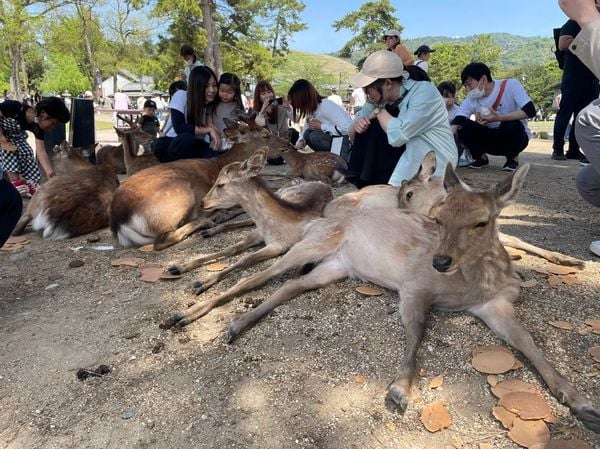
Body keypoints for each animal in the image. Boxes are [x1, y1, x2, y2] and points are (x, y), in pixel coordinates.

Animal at [110, 112, 292, 250]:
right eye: (265, 135)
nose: (288, 143)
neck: (220, 162)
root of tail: (120, 221)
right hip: (181, 195)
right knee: (162, 241)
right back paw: (209, 219)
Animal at [164, 148, 332, 300]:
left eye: (221, 184)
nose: (203, 203)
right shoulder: (259, 232)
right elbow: (231, 249)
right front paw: (178, 268)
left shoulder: (279, 246)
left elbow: (245, 259)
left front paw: (201, 283)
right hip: (281, 192)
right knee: (246, 221)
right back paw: (209, 231)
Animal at [165, 163, 600, 432]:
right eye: (438, 218)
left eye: (482, 222)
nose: (441, 260)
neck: (470, 285)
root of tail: (319, 218)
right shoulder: (414, 286)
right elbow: (417, 333)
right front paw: (399, 390)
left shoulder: (495, 305)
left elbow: (531, 344)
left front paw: (581, 402)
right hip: (311, 247)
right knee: (259, 276)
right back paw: (185, 313)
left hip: (335, 267)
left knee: (288, 286)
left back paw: (235, 324)